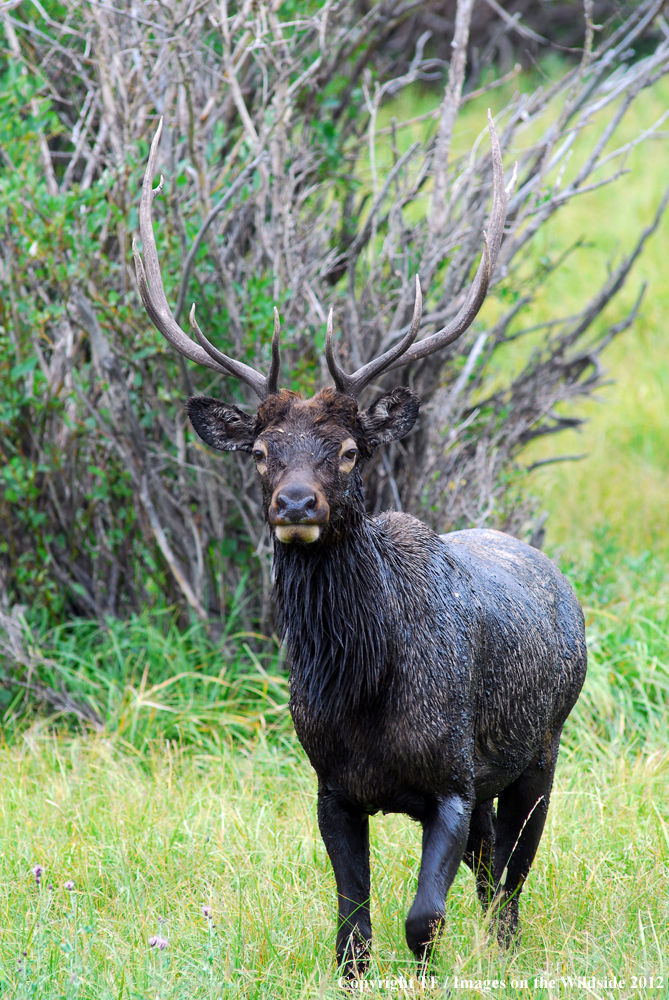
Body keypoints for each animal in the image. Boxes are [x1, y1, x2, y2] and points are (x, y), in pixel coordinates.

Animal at [132, 117, 584, 976]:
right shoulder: (331, 789)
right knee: (490, 870)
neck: (368, 691)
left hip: (542, 747)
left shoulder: (453, 777)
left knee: (509, 880)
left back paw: (504, 955)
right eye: (261, 450)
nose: (295, 502)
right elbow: (352, 931)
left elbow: (422, 919)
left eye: (347, 451)